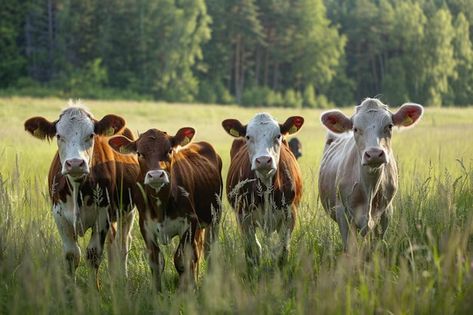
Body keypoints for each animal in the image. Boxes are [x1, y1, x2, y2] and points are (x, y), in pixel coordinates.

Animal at [24, 102, 138, 288]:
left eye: (91, 135)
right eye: (58, 135)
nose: (75, 163)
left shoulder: (103, 215)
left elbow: (93, 254)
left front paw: (94, 289)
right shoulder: (59, 215)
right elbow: (72, 254)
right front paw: (70, 288)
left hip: (128, 213)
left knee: (123, 242)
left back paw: (123, 278)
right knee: (112, 241)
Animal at [109, 126, 223, 292]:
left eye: (169, 150)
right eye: (139, 153)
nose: (156, 175)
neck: (161, 205)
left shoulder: (190, 222)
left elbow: (182, 259)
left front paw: (185, 290)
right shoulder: (146, 227)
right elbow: (156, 261)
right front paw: (158, 292)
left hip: (214, 218)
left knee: (208, 250)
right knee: (197, 250)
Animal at [221, 113, 302, 270]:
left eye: (278, 136)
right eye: (248, 137)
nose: (264, 160)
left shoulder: (290, 214)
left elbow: (283, 250)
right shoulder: (244, 217)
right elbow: (253, 249)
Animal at [318, 97, 422, 251]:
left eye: (389, 126)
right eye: (355, 128)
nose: (374, 154)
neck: (369, 188)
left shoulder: (385, 214)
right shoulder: (343, 214)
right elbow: (350, 249)